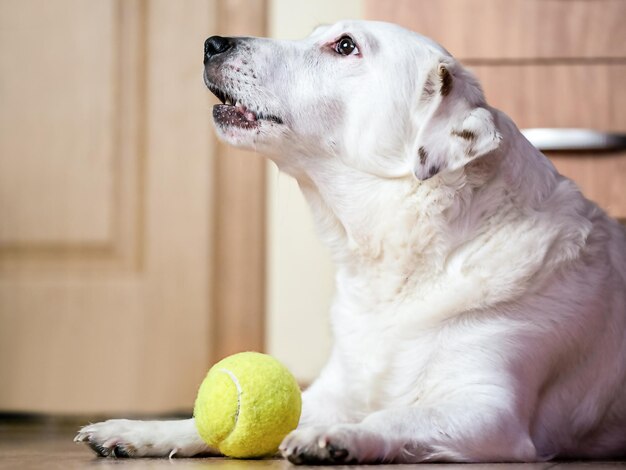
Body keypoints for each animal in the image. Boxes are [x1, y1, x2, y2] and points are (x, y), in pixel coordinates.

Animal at [74, 21, 624, 462]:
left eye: (344, 45)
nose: (212, 42)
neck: (397, 257)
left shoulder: (490, 410)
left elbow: (392, 417)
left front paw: (340, 437)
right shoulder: (331, 389)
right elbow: (205, 421)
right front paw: (140, 430)